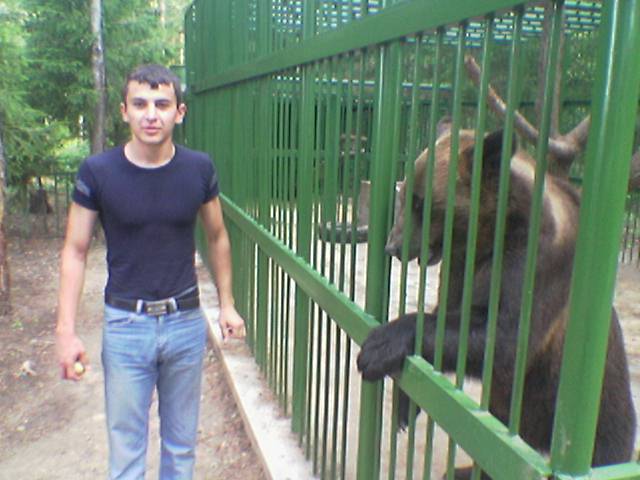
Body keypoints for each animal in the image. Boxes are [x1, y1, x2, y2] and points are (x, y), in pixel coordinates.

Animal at [356, 124, 636, 478]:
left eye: (421, 203)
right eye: (405, 195)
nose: (393, 246)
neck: (486, 237)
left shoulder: (536, 260)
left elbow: (504, 335)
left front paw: (377, 347)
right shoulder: (460, 266)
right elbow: (450, 311)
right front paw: (405, 407)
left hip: (599, 410)